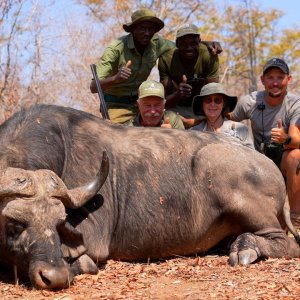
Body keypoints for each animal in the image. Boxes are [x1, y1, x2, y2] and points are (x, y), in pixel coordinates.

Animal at [0, 103, 298, 288]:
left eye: (58, 223)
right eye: (14, 225)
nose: (55, 276)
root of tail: (268, 166)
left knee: (286, 243)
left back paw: (246, 248)